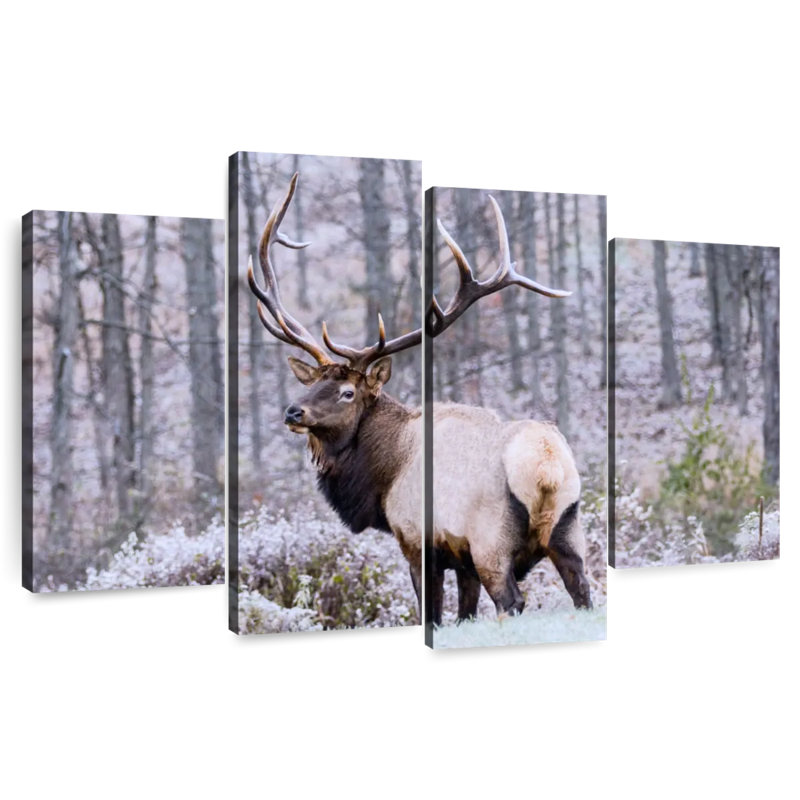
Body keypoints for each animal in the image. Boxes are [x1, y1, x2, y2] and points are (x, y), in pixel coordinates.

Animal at [247, 173, 591, 626]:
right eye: (313, 383)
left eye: (347, 392)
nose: (293, 411)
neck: (383, 475)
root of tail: (547, 467)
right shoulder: (462, 560)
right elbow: (464, 614)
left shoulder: (417, 540)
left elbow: (432, 612)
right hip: (569, 532)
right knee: (583, 591)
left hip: (491, 541)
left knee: (512, 601)